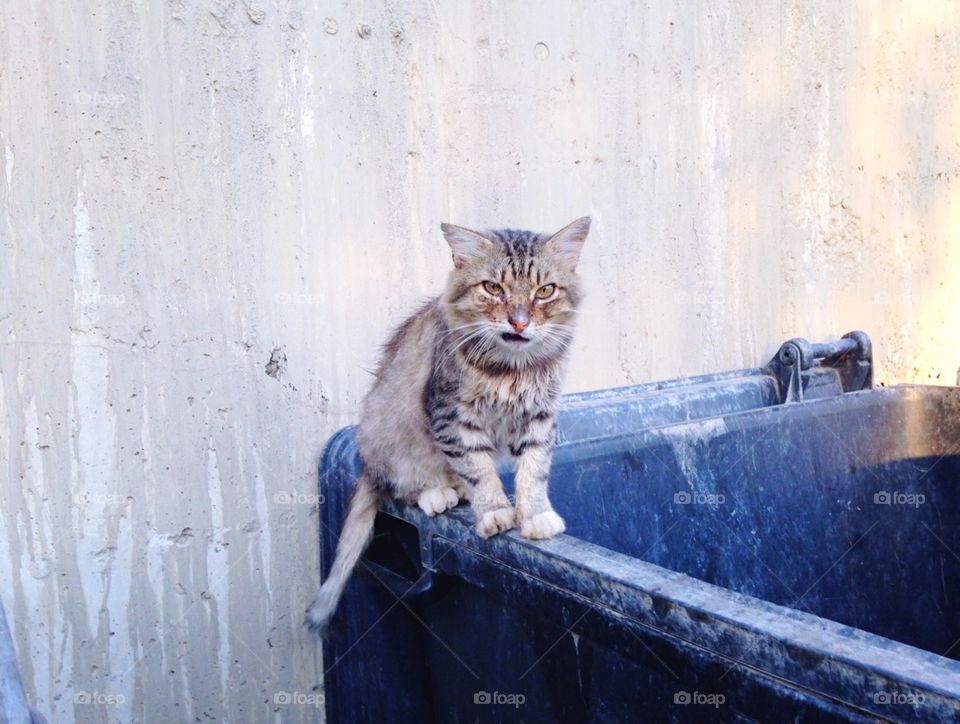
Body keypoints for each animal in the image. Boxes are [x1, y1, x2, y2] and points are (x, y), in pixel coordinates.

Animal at [308, 215, 592, 632]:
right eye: (493, 288)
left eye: (545, 291)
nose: (519, 322)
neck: (511, 369)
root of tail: (365, 464)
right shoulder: (450, 416)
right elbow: (479, 469)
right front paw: (493, 512)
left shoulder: (539, 416)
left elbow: (533, 471)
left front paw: (534, 514)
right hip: (387, 437)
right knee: (400, 488)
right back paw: (437, 492)